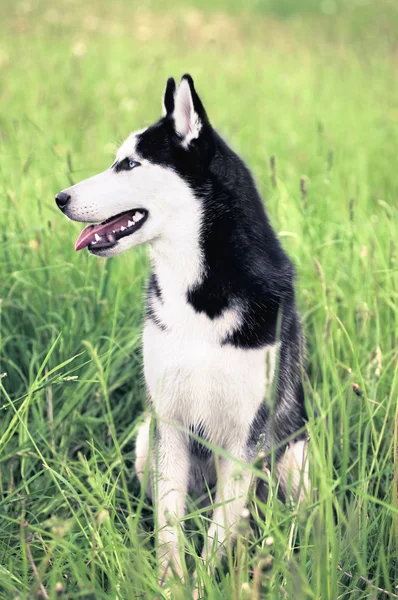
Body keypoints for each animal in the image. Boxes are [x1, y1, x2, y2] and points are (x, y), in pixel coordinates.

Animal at [56, 75, 310, 584]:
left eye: (129, 164)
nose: (60, 198)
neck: (200, 296)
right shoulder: (168, 420)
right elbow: (170, 525)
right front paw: (170, 582)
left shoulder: (246, 437)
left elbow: (221, 530)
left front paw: (206, 582)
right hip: (144, 440)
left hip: (295, 457)